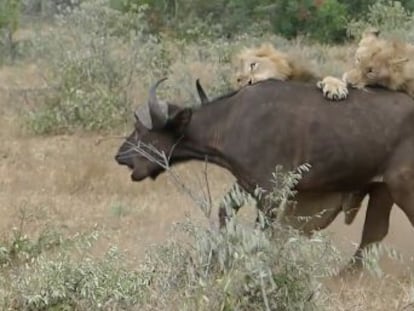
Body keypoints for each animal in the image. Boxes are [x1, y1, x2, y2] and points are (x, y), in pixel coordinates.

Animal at [115, 77, 414, 270]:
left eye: (141, 130)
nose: (120, 156)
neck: (232, 121)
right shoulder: (245, 185)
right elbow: (225, 212)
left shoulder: (270, 193)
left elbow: (264, 234)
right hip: (382, 191)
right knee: (373, 234)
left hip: (403, 189)